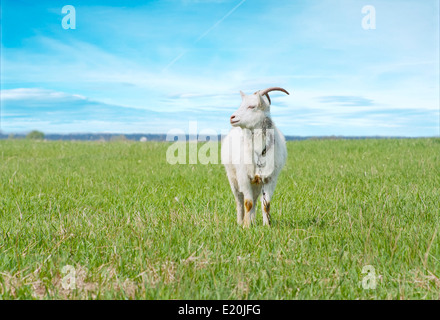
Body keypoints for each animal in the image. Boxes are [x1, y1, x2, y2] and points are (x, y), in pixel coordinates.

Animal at [220, 87, 288, 228]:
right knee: (239, 201)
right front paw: (246, 226)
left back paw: (253, 220)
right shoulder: (243, 177)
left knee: (256, 200)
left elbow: (266, 204)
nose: (232, 117)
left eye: (252, 106)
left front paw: (267, 226)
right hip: (233, 179)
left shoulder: (270, 179)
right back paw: (241, 221)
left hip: (256, 183)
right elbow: (248, 203)